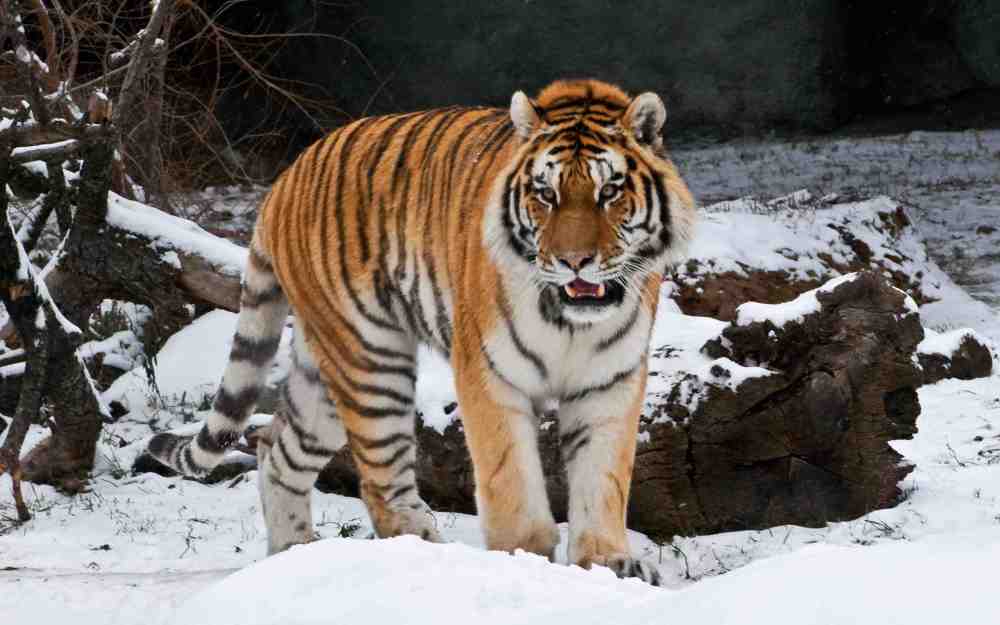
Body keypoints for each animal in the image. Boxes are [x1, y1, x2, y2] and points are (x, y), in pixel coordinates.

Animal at [148, 78, 696, 584]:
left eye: (609, 192)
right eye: (546, 194)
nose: (574, 261)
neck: (570, 320)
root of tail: (285, 179)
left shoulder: (608, 381)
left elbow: (602, 479)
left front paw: (607, 563)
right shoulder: (488, 375)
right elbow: (510, 479)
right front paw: (523, 558)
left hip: (321, 376)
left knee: (276, 449)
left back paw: (292, 558)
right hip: (369, 359)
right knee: (379, 480)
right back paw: (425, 555)